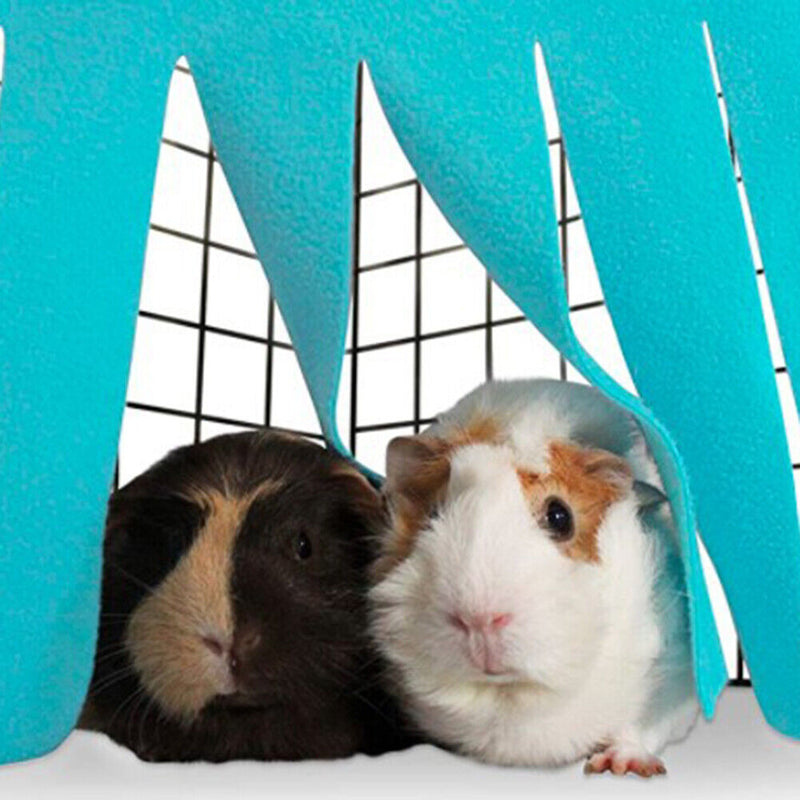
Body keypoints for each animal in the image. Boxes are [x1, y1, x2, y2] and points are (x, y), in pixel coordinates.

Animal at [370, 379, 699, 777]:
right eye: (431, 515)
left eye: (560, 516)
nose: (479, 620)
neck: (513, 695)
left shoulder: (674, 672)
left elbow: (641, 726)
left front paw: (617, 765)